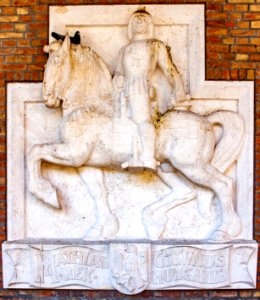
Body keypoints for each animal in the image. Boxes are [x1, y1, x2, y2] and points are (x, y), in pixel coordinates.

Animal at [28, 35, 246, 241]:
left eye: (57, 61)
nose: (46, 96)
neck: (87, 107)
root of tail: (206, 120)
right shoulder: (87, 164)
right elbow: (99, 193)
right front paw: (102, 230)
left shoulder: (74, 153)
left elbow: (35, 151)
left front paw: (46, 194)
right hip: (167, 167)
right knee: (187, 191)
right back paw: (153, 222)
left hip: (191, 165)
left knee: (223, 184)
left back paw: (224, 231)